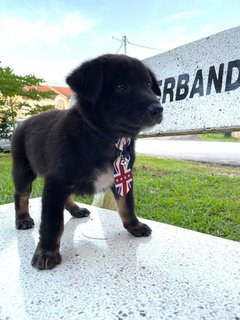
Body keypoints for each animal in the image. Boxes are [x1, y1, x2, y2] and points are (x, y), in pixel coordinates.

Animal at [11, 53, 163, 268]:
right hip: (23, 169)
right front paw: (47, 251)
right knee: (21, 194)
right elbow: (52, 221)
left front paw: (134, 225)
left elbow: (127, 204)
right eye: (121, 86)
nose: (158, 109)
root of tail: (23, 122)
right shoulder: (56, 181)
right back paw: (23, 218)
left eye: (148, 84)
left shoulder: (123, 178)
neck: (104, 136)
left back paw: (75, 210)